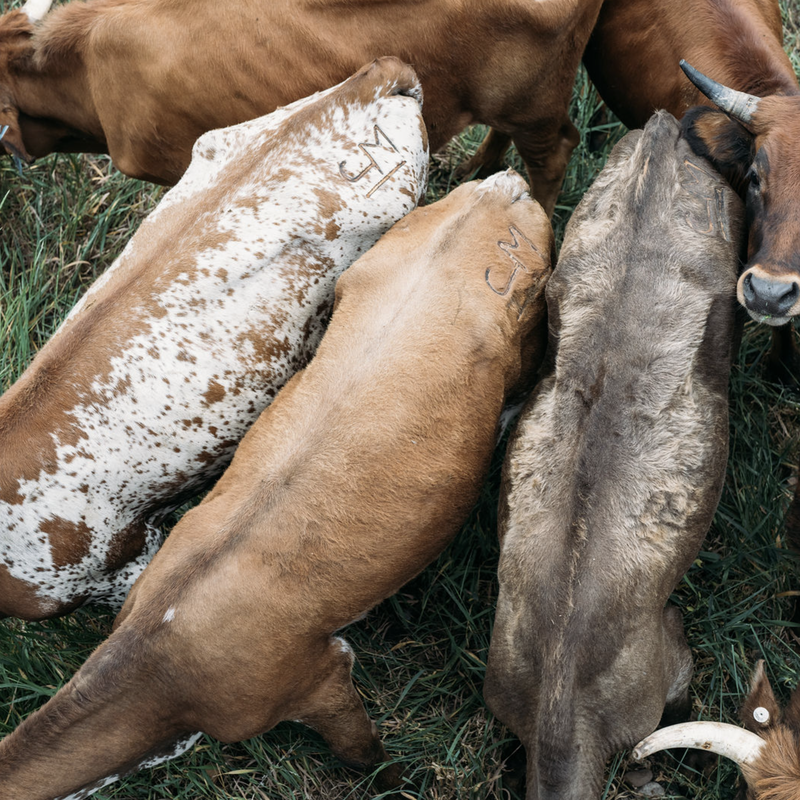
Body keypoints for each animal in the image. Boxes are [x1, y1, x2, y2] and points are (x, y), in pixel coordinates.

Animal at [0, 169, 554, 800]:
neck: (155, 670)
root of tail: (496, 191)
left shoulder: (316, 679)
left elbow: (365, 756)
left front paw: (397, 780)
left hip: (527, 322)